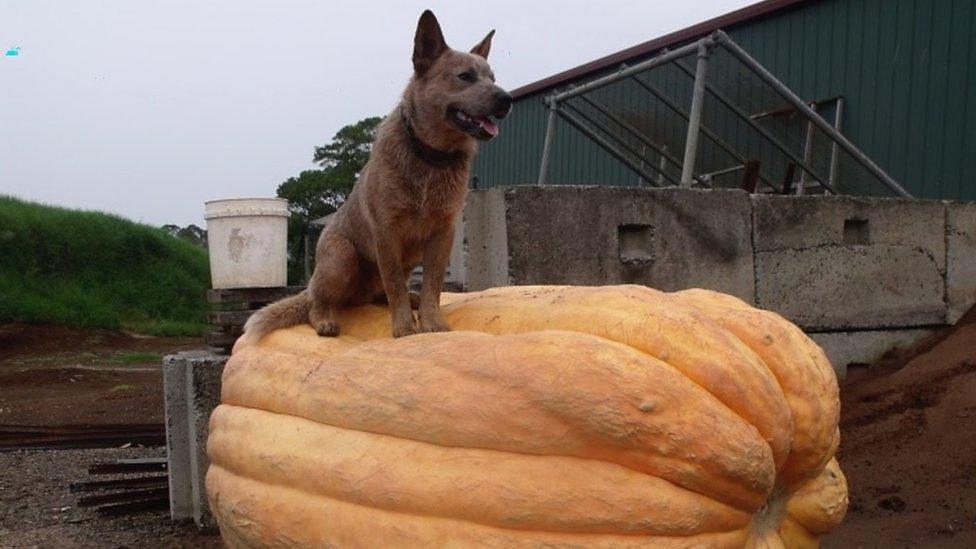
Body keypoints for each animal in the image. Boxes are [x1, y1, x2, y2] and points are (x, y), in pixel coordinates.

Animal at [242, 10, 510, 340]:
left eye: (493, 78)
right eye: (465, 76)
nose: (507, 99)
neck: (429, 158)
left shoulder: (443, 232)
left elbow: (432, 285)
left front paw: (432, 323)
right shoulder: (386, 230)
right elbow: (394, 283)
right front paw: (404, 328)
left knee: (387, 293)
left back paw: (412, 299)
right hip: (341, 258)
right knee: (319, 303)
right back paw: (326, 320)